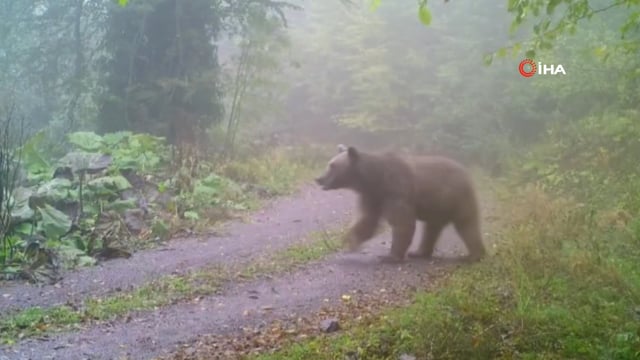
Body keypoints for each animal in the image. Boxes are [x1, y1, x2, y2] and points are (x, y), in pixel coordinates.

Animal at [314, 143, 484, 264]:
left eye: (332, 166)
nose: (319, 179)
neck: (374, 179)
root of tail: (467, 173)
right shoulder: (373, 196)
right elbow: (368, 220)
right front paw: (350, 241)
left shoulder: (397, 190)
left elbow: (402, 222)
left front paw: (389, 257)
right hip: (438, 206)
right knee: (431, 229)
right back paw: (419, 252)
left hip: (457, 198)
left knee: (467, 225)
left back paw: (474, 256)